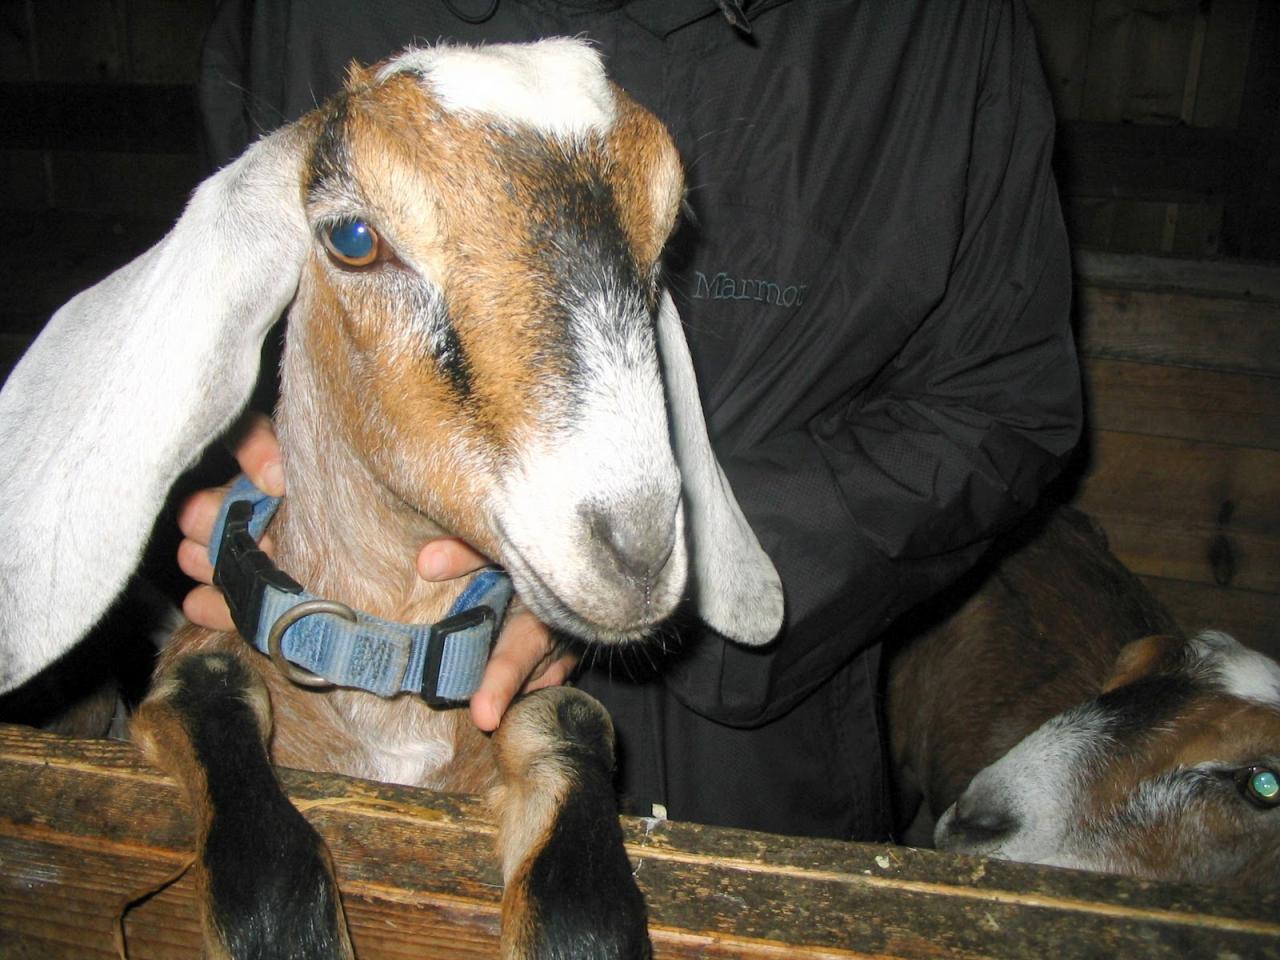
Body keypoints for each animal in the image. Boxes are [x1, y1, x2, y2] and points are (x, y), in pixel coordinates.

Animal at [0, 40, 784, 957]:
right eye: (351, 237)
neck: (389, 683)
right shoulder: (192, 671)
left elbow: (572, 731)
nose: (636, 547)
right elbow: (234, 762)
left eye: (663, 241)